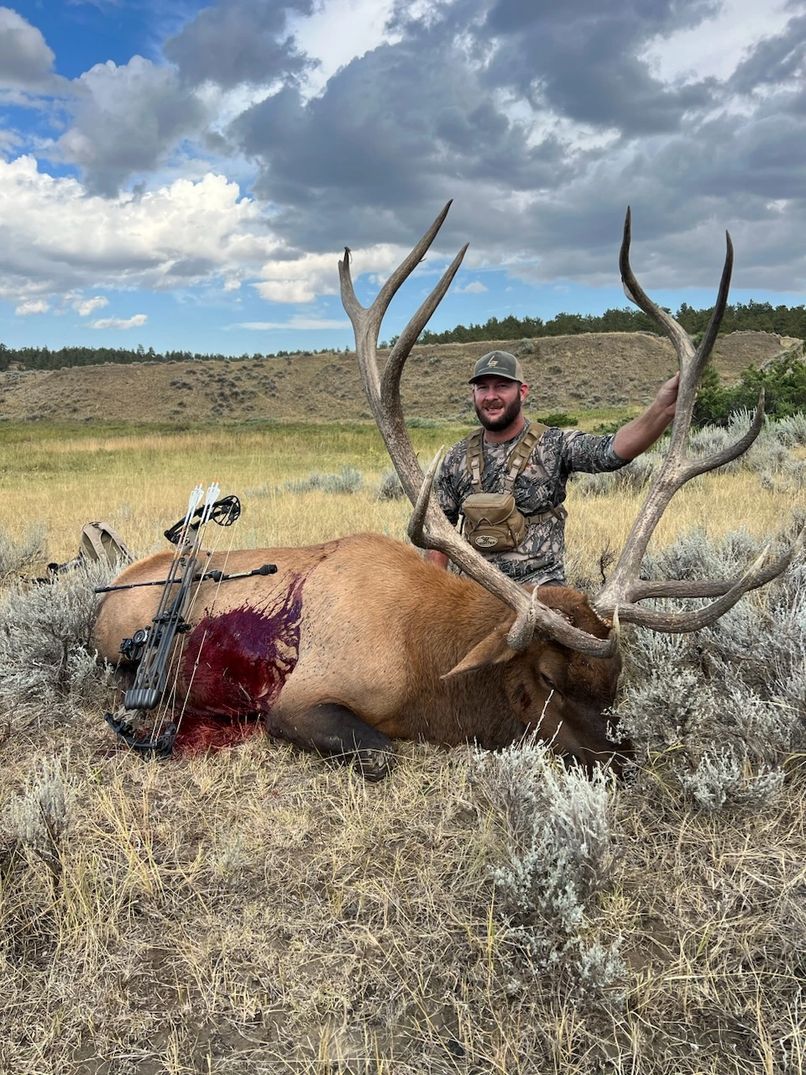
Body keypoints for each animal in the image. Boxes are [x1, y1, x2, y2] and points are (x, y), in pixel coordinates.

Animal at [92, 204, 796, 779]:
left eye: (618, 677)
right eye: (547, 677)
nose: (622, 760)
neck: (425, 669)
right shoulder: (297, 700)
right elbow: (382, 752)